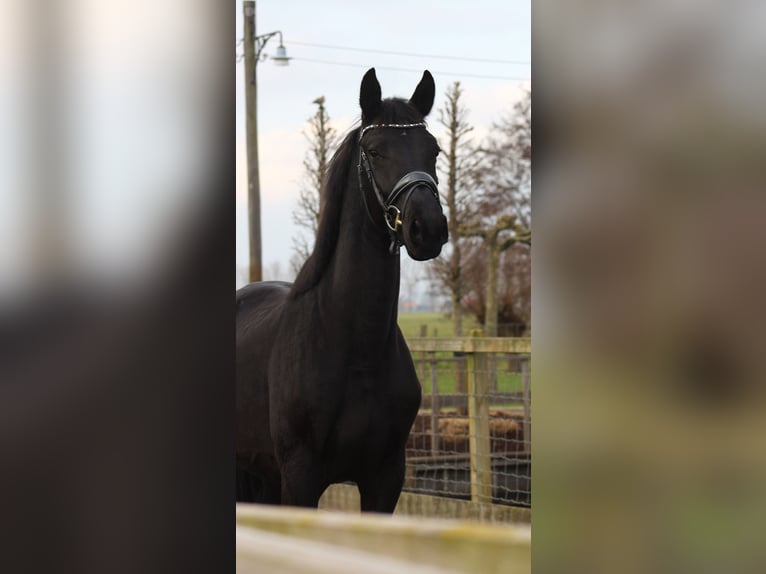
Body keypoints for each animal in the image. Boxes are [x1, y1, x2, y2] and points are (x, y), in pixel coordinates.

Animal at [237, 68, 448, 512]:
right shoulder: (300, 479)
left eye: (434, 150)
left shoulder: (385, 479)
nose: (428, 228)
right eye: (374, 150)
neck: (356, 349)